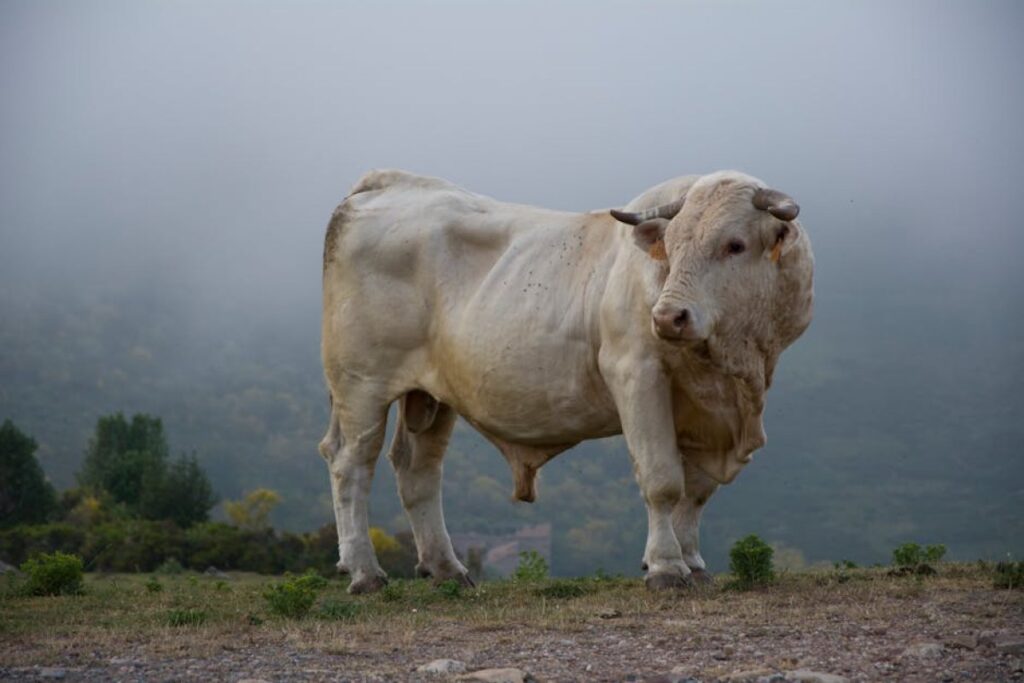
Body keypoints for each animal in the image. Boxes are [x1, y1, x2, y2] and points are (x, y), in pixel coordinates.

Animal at [319, 169, 814, 593]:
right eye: (671, 246)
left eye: (735, 244)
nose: (667, 317)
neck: (735, 366)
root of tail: (386, 182)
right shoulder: (636, 373)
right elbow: (663, 480)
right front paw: (666, 567)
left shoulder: (706, 409)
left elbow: (695, 492)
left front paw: (692, 563)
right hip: (360, 384)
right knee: (351, 464)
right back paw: (365, 573)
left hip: (430, 395)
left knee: (418, 470)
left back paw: (446, 568)